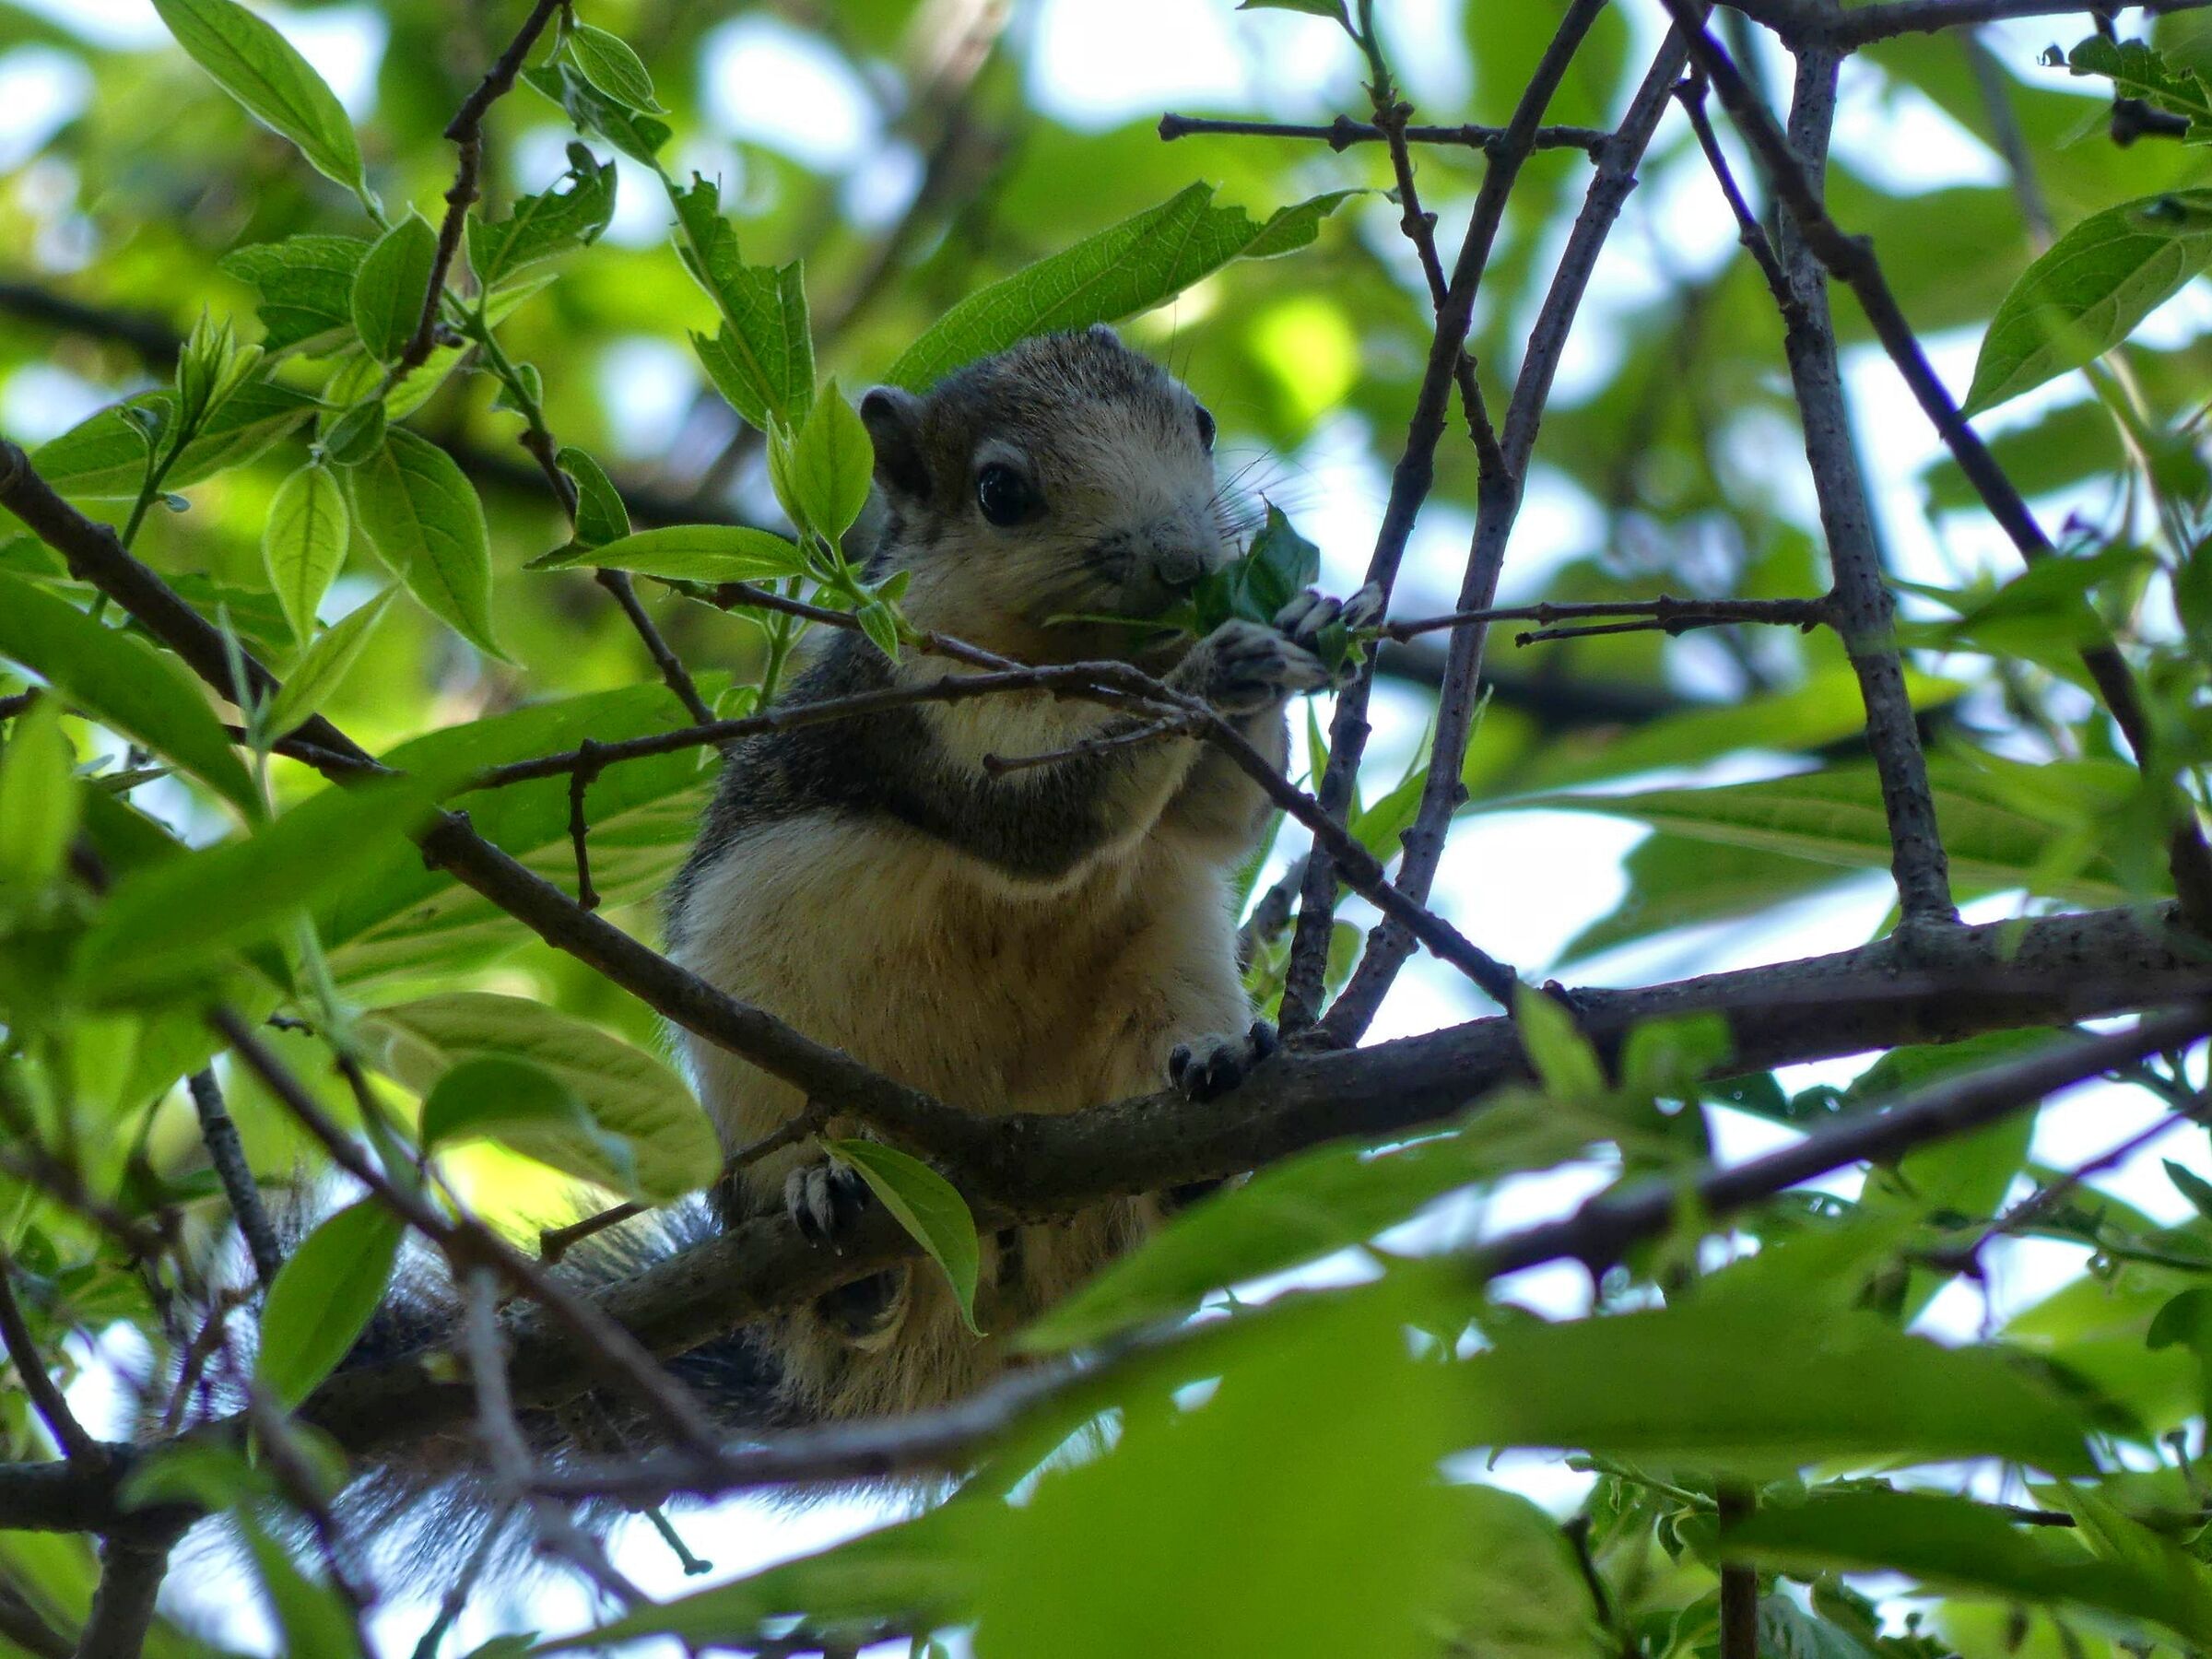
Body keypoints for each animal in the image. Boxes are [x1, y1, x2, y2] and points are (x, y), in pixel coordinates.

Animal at [295, 326, 1376, 1574]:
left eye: (1196, 424)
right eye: (1001, 492)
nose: (1184, 563)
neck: (1075, 657)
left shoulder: (1174, 830)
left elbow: (1213, 825)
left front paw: (1297, 625)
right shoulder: (910, 710)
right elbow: (1042, 827)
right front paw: (1216, 662)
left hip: (1168, 970)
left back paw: (1207, 1094)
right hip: (758, 1113)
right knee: (811, 1269)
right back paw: (830, 1225)